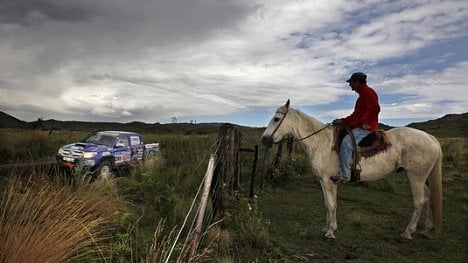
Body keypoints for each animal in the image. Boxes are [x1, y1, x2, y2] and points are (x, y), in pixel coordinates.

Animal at [262, 100, 444, 241]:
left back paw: (407, 232)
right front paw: (328, 228)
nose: (264, 139)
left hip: (416, 177)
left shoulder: (328, 180)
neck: (321, 142)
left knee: (419, 201)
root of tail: (431, 138)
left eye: (276, 119)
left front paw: (330, 232)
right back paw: (426, 230)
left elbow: (332, 204)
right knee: (429, 197)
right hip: (420, 177)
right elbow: (328, 205)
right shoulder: (324, 180)